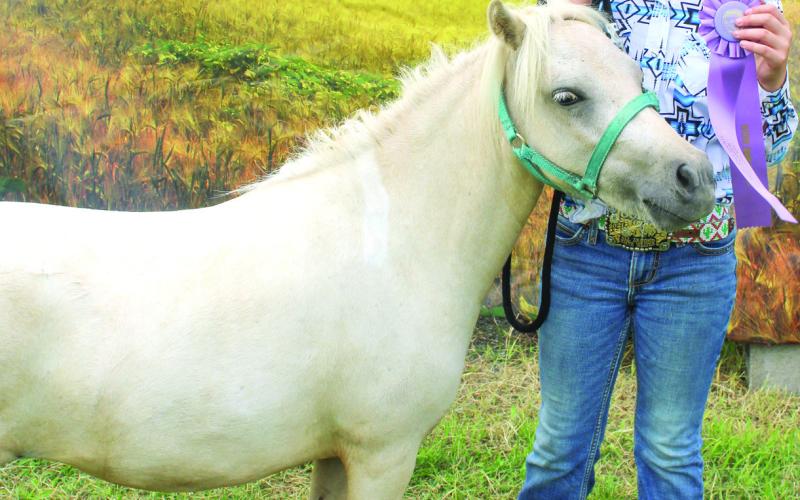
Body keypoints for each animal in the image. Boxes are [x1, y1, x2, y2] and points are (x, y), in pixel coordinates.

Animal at [0, 0, 715, 498]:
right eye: (566, 95)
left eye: (636, 74)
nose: (696, 178)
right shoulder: (383, 453)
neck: (391, 240)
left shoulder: (336, 455)